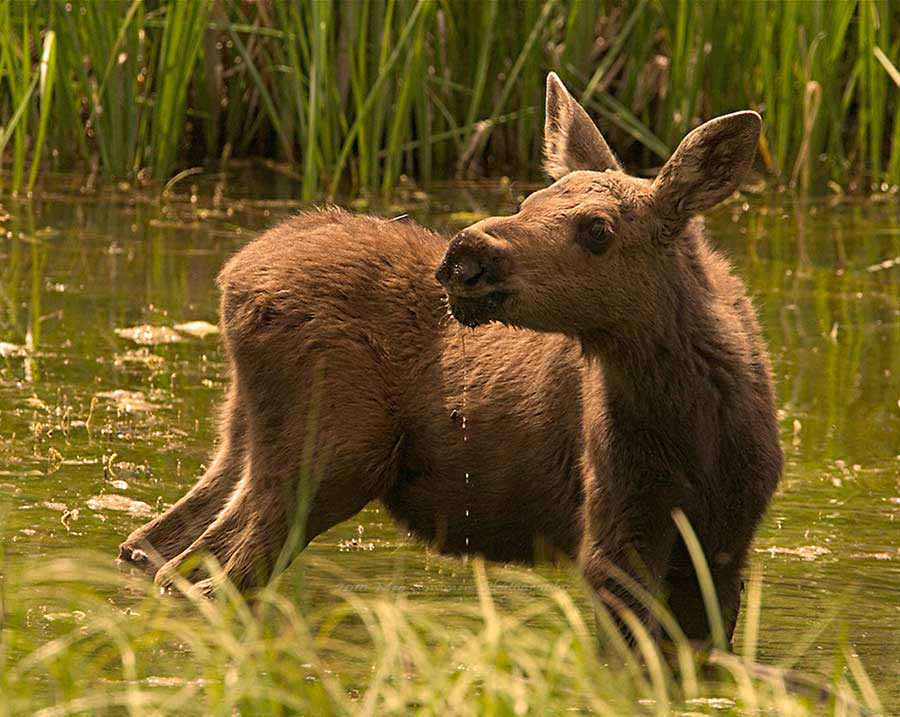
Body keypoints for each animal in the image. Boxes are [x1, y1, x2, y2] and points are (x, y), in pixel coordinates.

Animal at [119, 74, 780, 648]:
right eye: (530, 199)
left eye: (598, 229)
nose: (467, 253)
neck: (694, 429)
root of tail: (234, 277)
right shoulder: (613, 531)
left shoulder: (726, 545)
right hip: (329, 450)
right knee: (207, 571)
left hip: (245, 433)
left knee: (157, 543)